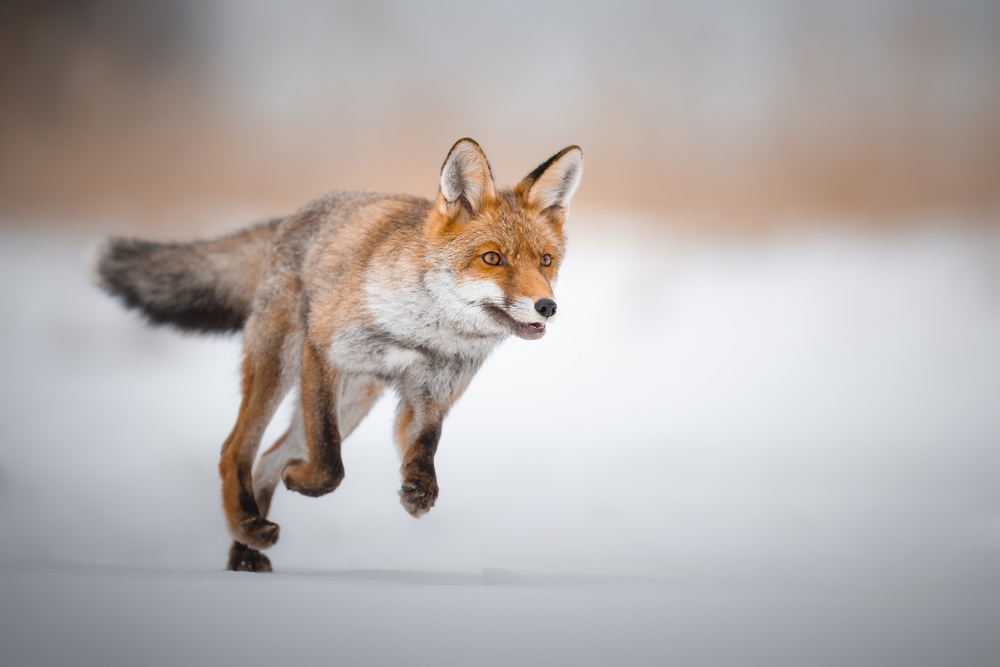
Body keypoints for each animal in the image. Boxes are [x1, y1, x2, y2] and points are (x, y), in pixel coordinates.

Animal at [94, 138, 584, 572]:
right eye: (492, 259)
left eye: (544, 261)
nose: (547, 306)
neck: (424, 334)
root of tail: (294, 216)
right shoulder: (324, 351)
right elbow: (330, 463)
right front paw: (304, 479)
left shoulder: (431, 393)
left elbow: (424, 446)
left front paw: (418, 491)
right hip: (283, 363)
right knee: (236, 450)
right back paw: (248, 525)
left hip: (354, 401)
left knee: (267, 460)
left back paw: (246, 552)